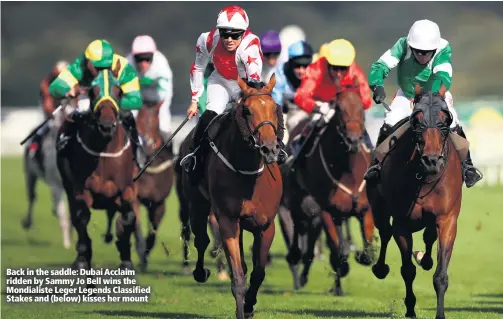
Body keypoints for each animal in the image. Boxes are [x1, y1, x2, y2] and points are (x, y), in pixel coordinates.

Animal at [58, 62, 147, 272]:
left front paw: (126, 259)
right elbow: (81, 217)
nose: (106, 125)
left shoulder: (127, 189)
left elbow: (129, 217)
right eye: (92, 91)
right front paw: (82, 258)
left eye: (119, 91)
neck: (104, 153)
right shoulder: (81, 189)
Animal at [179, 75, 284, 319]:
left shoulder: (266, 225)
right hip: (197, 204)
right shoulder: (227, 220)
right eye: (246, 110)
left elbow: (258, 273)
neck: (248, 174)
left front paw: (250, 306)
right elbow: (238, 275)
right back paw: (200, 272)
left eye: (275, 108)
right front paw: (242, 309)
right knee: (201, 239)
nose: (270, 149)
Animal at [282, 80, 376, 296]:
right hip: (297, 198)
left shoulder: (364, 209)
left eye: (362, 107)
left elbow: (367, 253)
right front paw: (342, 269)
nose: (353, 140)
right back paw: (297, 262)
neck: (349, 171)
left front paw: (359, 255)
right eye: (339, 108)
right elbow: (338, 252)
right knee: (299, 229)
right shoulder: (326, 211)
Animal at [368, 85, 466, 319]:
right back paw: (380, 268)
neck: (424, 177)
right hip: (378, 208)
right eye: (416, 120)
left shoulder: (447, 220)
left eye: (445, 119)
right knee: (384, 232)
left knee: (428, 235)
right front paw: (411, 308)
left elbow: (441, 274)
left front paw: (440, 314)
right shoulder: (401, 223)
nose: (432, 161)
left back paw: (426, 258)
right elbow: (407, 270)